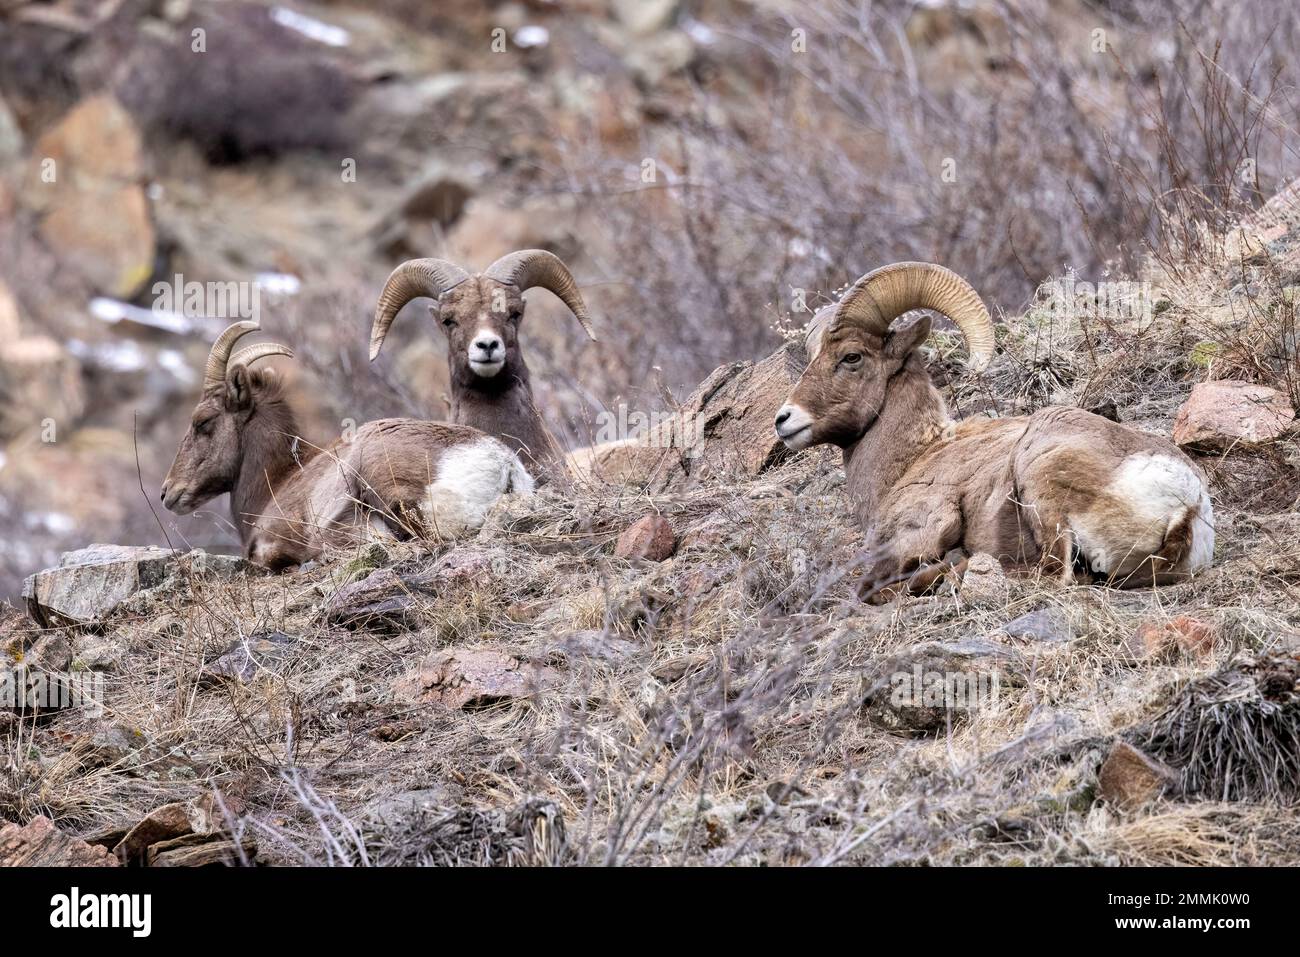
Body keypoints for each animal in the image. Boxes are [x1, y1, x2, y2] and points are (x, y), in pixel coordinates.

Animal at [769, 261, 1206, 600]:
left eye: (851, 357)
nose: (784, 420)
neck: (911, 460)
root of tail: (1186, 500)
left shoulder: (920, 529)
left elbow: (867, 588)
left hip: (1039, 478)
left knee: (1054, 574)